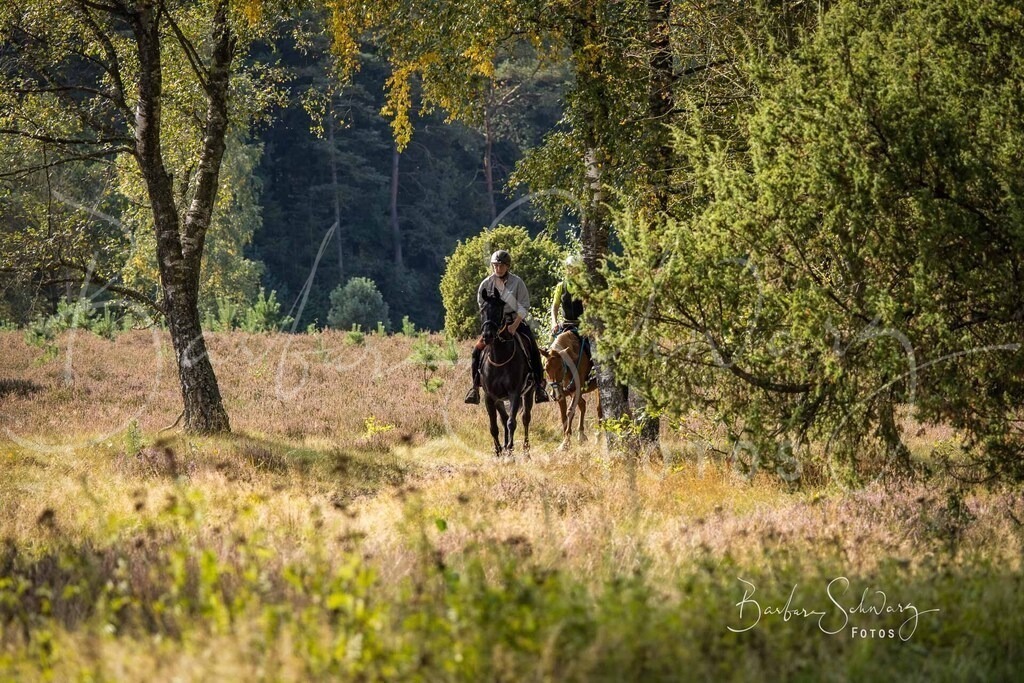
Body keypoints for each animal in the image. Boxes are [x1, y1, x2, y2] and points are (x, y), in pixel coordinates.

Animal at [477, 290, 534, 459]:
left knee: (525, 418)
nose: (487, 335)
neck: (499, 357)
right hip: (500, 399)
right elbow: (494, 426)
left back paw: (525, 451)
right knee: (503, 419)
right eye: (482, 310)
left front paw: (509, 449)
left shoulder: (514, 393)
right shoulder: (490, 397)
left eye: (498, 311)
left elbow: (512, 422)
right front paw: (498, 451)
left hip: (528, 393)